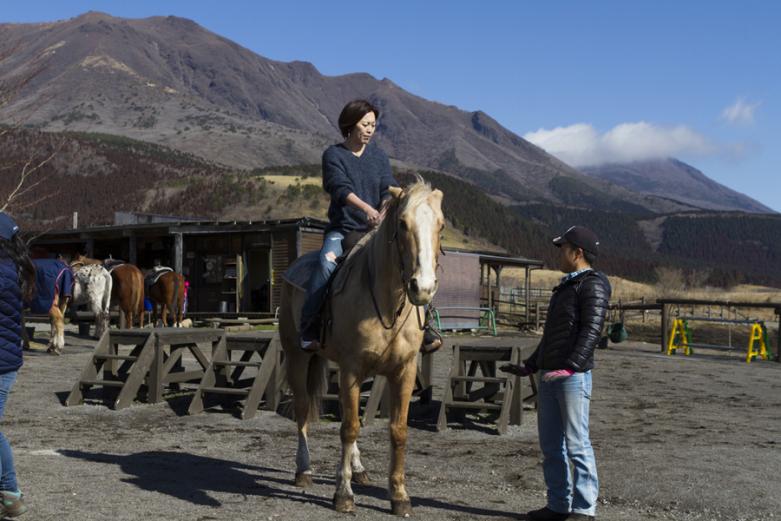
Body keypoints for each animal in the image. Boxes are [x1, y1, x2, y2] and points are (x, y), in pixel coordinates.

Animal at [278, 180, 442, 516]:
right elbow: (350, 428)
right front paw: (343, 494)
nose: (422, 288)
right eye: (402, 224)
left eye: (440, 225)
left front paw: (399, 496)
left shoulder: (403, 371)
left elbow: (398, 430)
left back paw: (359, 469)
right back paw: (304, 470)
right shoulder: (352, 369)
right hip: (298, 357)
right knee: (302, 410)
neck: (387, 303)